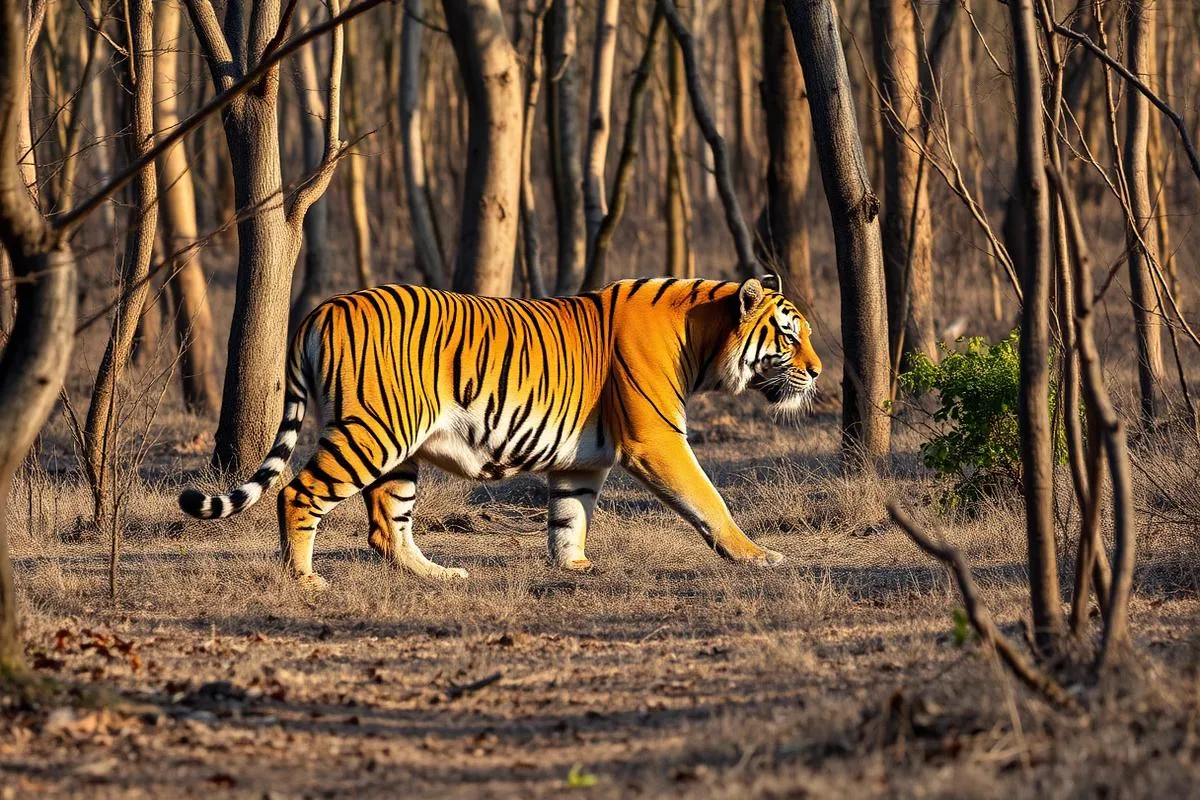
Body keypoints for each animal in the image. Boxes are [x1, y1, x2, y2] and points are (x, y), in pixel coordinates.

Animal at [179, 276, 822, 587]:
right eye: (789, 336)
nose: (818, 372)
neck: (703, 338)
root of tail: (321, 308)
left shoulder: (581, 460)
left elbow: (570, 515)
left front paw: (574, 566)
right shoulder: (657, 441)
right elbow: (710, 501)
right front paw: (758, 556)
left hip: (399, 448)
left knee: (387, 526)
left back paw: (438, 575)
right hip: (373, 432)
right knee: (296, 492)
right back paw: (306, 579)